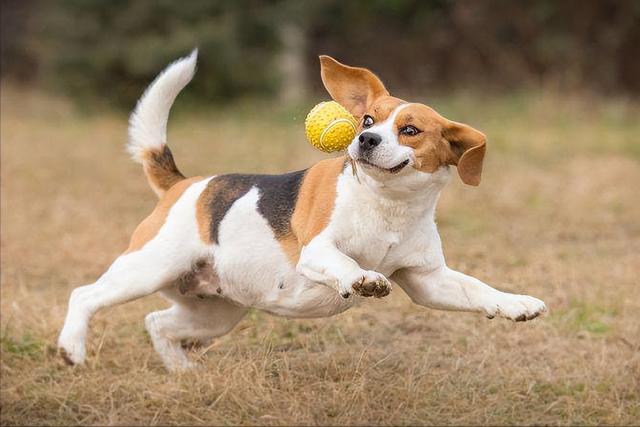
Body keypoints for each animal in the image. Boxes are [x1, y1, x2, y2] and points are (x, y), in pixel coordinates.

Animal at [57, 51, 544, 372]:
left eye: (410, 130)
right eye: (368, 120)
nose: (365, 140)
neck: (387, 204)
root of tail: (183, 183)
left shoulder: (428, 280)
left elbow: (477, 289)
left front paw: (516, 304)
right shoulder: (317, 251)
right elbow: (347, 263)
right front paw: (363, 278)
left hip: (215, 312)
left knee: (156, 322)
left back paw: (183, 375)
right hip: (147, 268)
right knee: (84, 295)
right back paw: (72, 349)